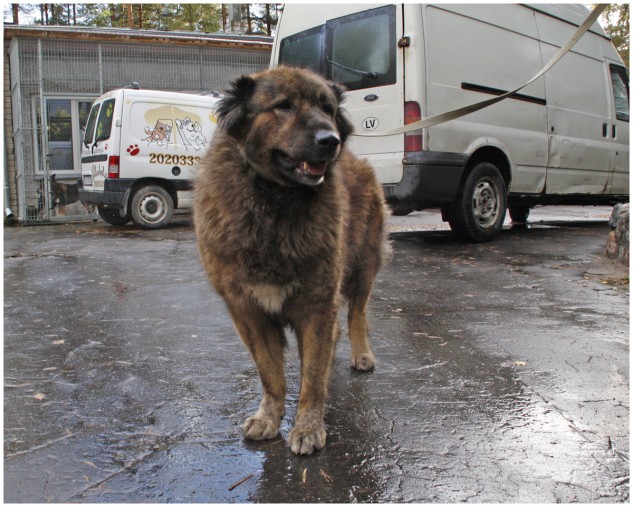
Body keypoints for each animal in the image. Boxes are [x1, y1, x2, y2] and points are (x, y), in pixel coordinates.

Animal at [193, 67, 389, 455]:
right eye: (283, 106)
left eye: (327, 109)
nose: (331, 141)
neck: (275, 200)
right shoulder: (248, 310)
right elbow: (271, 374)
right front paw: (269, 418)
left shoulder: (317, 304)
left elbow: (312, 377)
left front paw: (308, 427)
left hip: (363, 268)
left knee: (357, 316)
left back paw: (362, 354)